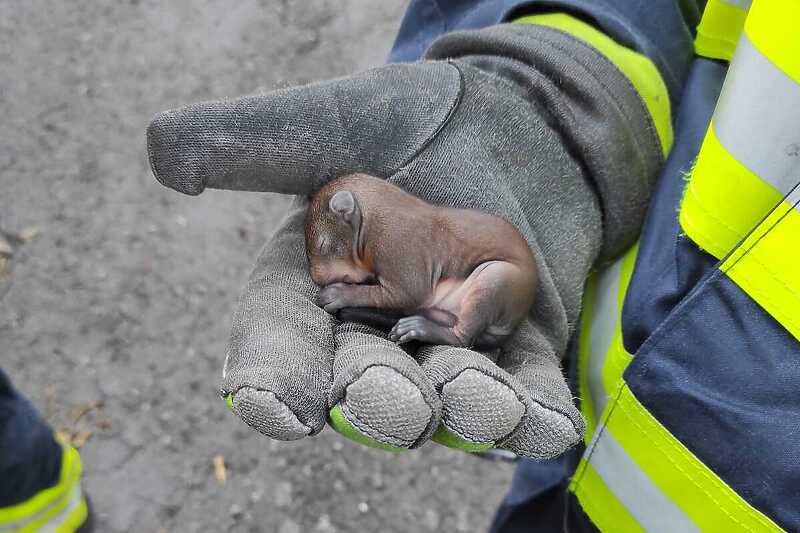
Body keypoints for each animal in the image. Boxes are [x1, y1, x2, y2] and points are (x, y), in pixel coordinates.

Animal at [304, 175, 536, 350]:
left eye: (322, 245)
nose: (318, 279)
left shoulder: (394, 244)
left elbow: (402, 293)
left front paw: (338, 294)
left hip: (497, 277)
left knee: (463, 339)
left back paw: (420, 328)